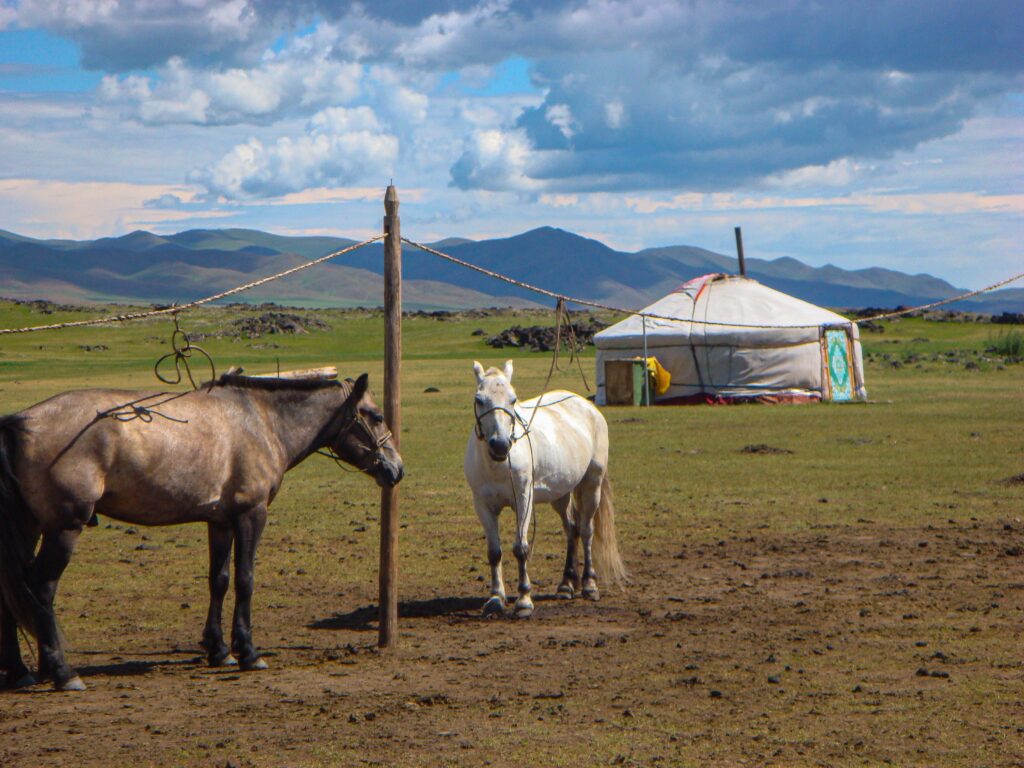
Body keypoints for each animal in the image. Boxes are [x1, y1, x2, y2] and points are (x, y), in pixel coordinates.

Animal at [0, 369, 403, 691]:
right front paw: (248, 652)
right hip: (64, 529)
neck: (261, 422)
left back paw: (22, 672)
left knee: (15, 591)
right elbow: (245, 580)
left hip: (30, 527)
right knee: (42, 588)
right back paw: (62, 672)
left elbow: (219, 580)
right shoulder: (251, 515)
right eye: (377, 415)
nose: (397, 469)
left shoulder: (220, 521)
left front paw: (219, 649)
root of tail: (19, 421)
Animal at [464, 360, 626, 619]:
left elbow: (521, 548)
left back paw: (589, 585)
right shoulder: (483, 505)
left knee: (586, 530)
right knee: (572, 529)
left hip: (592, 485)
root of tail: (587, 405)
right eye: (479, 399)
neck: (498, 465)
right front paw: (496, 599)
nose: (500, 445)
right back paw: (566, 585)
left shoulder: (524, 500)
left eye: (513, 399)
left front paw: (523, 600)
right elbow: (494, 552)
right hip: (560, 494)